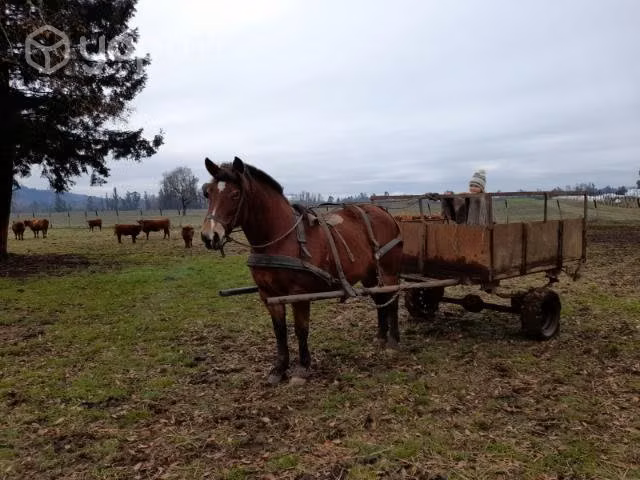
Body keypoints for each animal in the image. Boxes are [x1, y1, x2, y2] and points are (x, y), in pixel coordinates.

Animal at [201, 157, 403, 385]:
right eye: (208, 193)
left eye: (235, 194)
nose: (209, 236)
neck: (280, 238)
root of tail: (383, 212)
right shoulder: (268, 295)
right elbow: (279, 331)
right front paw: (279, 368)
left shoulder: (299, 294)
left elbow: (301, 329)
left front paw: (302, 368)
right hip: (369, 274)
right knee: (380, 299)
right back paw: (381, 337)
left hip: (388, 271)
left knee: (393, 299)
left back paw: (393, 341)